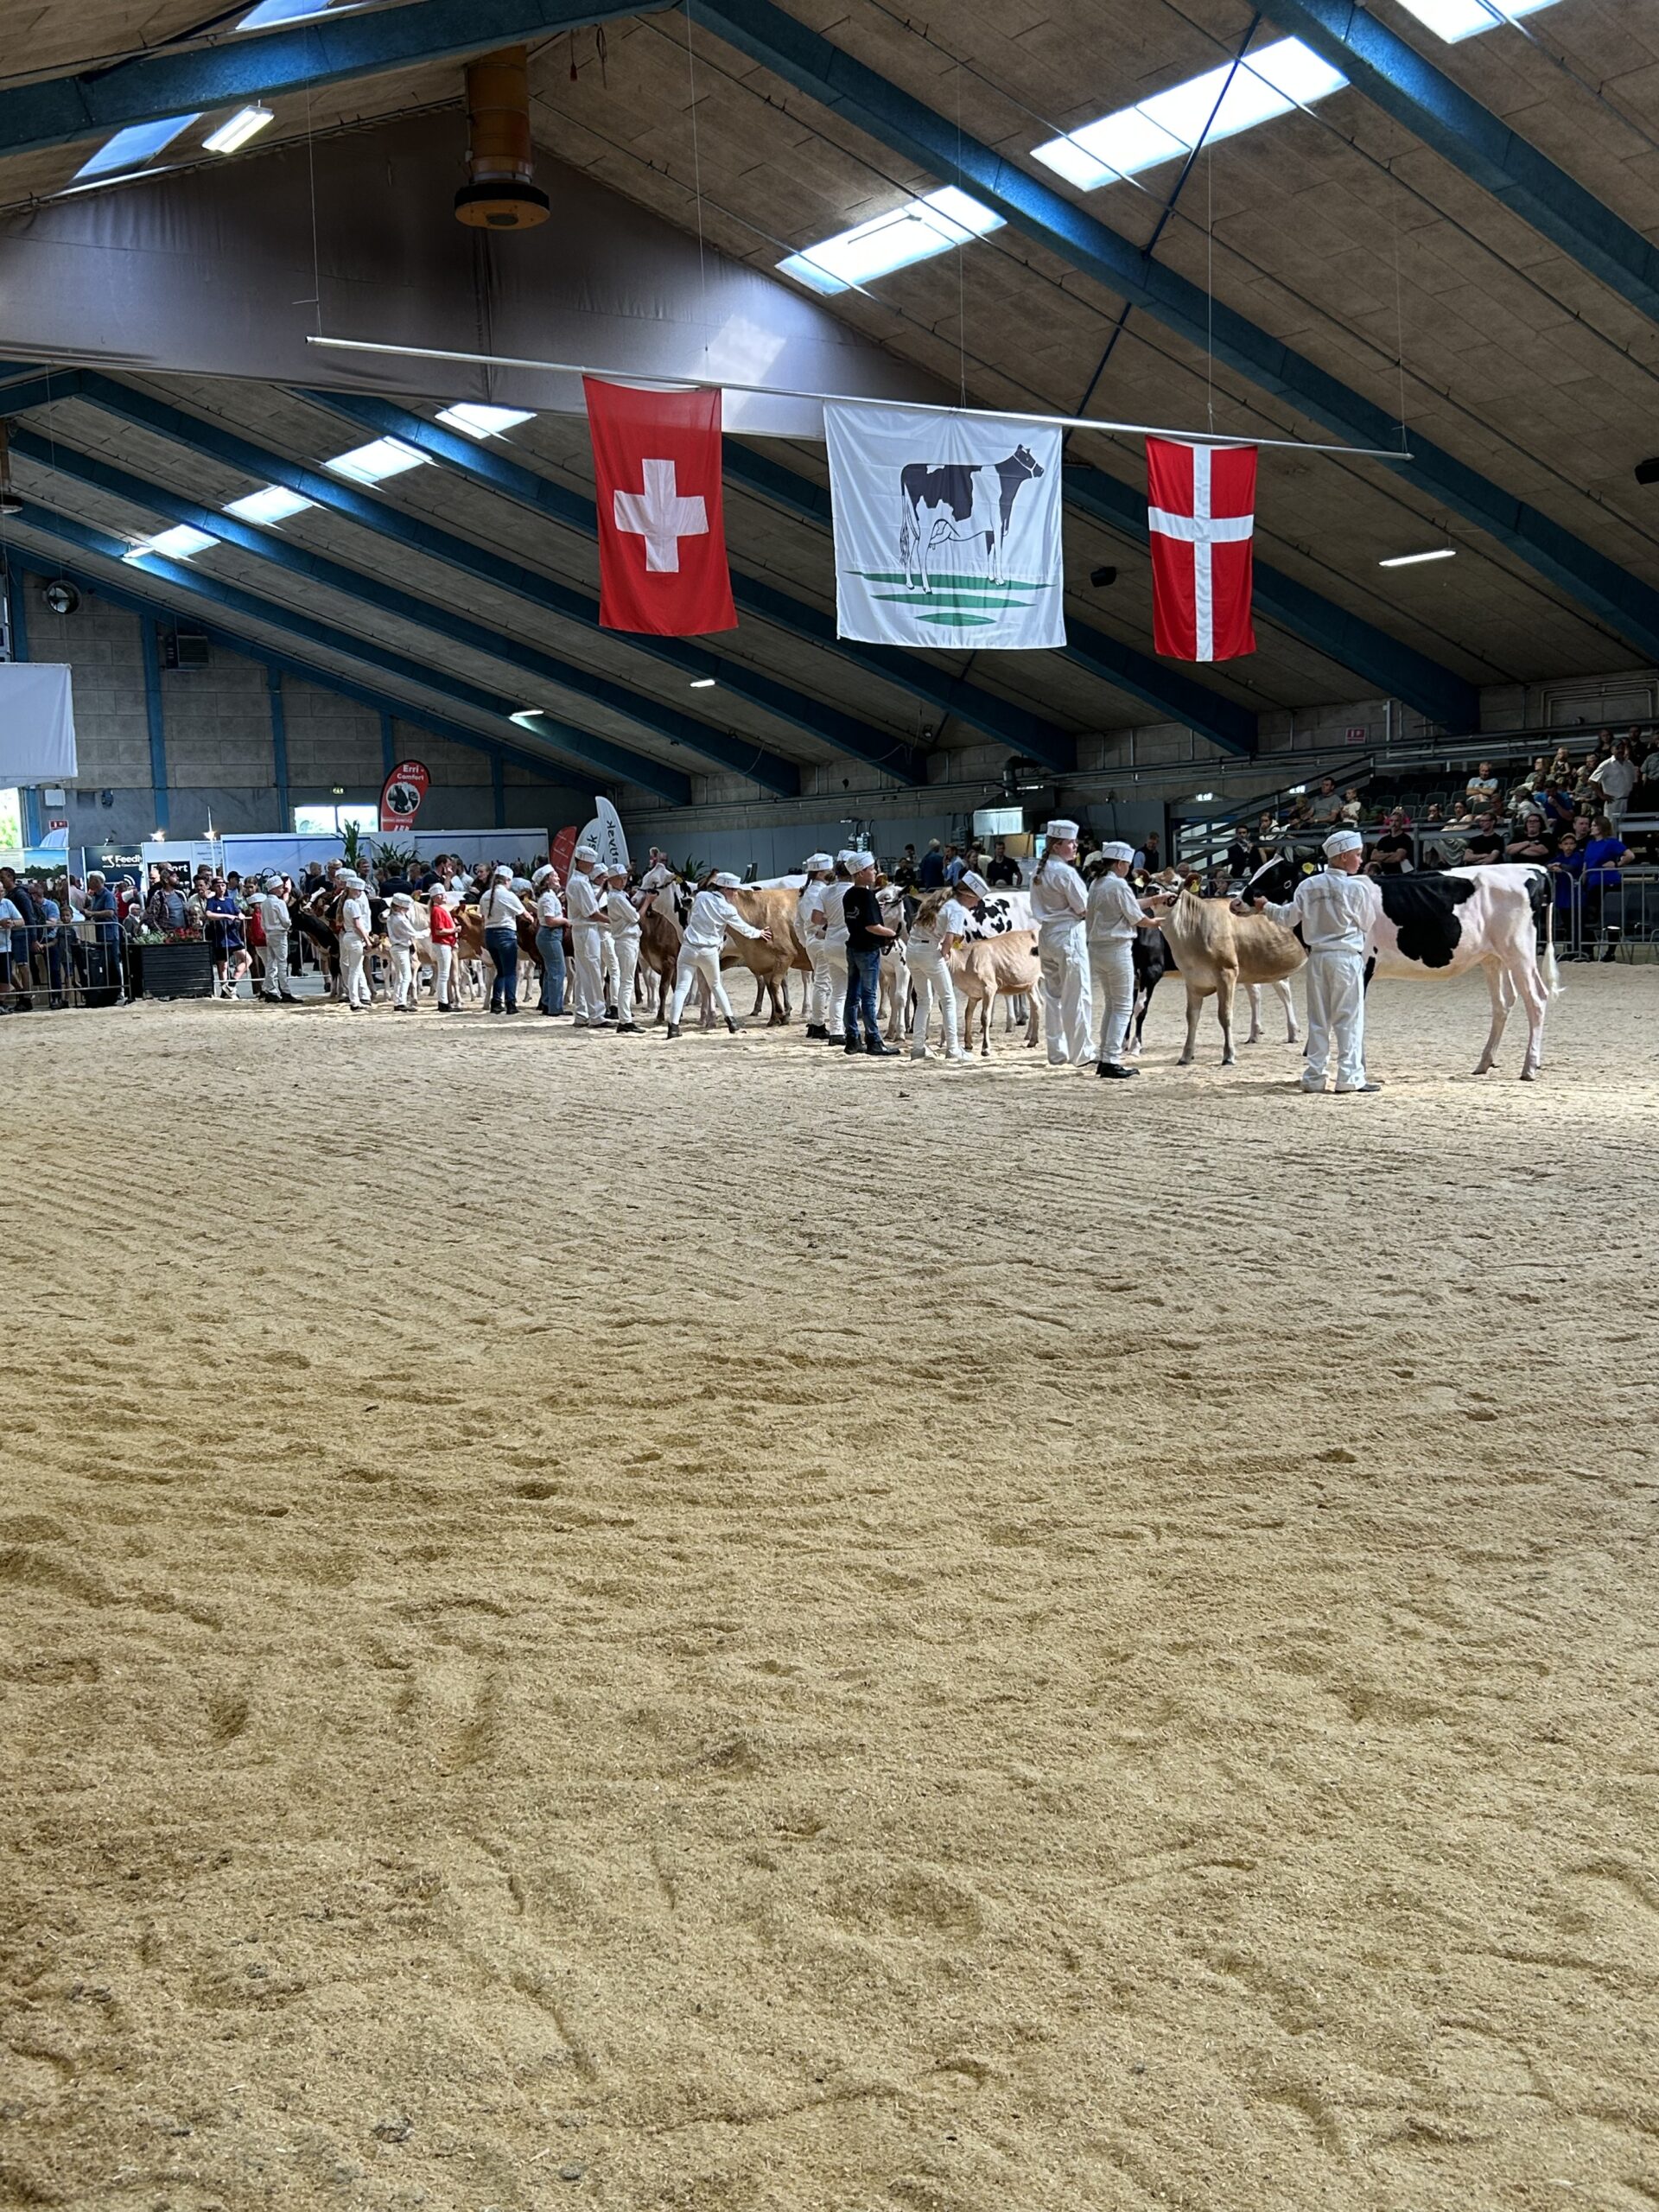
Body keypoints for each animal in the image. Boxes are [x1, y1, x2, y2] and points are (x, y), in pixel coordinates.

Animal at [899, 448, 1044, 591]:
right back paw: (927, 588)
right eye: (1027, 458)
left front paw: (991, 579)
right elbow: (998, 552)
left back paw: (910, 584)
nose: (1041, 470)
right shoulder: (998, 525)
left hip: (911, 524)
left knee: (908, 551)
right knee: (920, 551)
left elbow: (990, 552)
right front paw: (1001, 580)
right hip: (925, 526)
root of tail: (908, 468)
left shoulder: (989, 530)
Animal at [1152, 887, 1306, 1067]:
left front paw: (1229, 1055)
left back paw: (1294, 1034)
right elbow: (1191, 1017)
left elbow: (1225, 1015)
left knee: (1284, 993)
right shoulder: (1193, 980)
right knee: (1264, 992)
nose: (1154, 890)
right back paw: (1261, 1034)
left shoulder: (1227, 973)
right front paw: (1186, 1056)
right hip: (1261, 967)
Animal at [1247, 857, 1559, 1079]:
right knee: (1504, 1003)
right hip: (1494, 958)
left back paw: (1529, 1067)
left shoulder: (1363, 967)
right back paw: (1485, 1062)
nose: (1239, 899)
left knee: (1537, 999)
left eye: (1282, 881)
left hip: (1520, 951)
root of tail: (1533, 868)